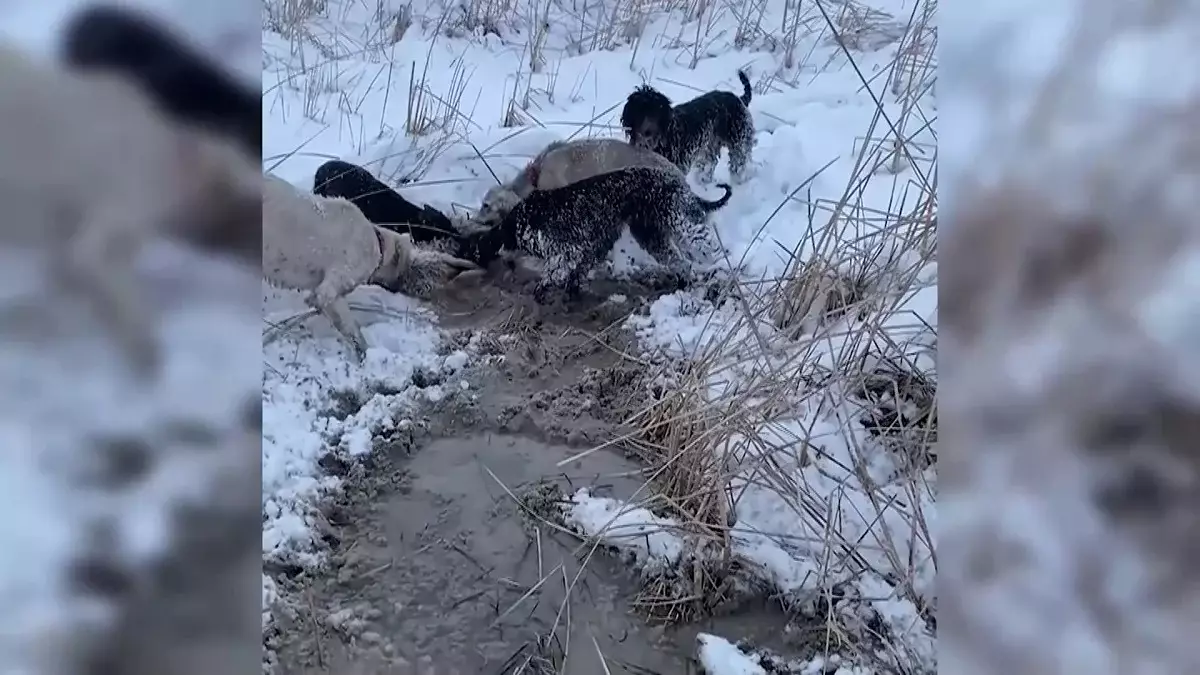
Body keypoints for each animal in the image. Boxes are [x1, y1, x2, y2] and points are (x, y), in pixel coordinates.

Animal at [458, 165, 729, 302]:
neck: (518, 221)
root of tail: (679, 182)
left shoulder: (565, 251)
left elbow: (549, 278)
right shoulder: (591, 248)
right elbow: (574, 276)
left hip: (679, 218)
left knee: (704, 241)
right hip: (651, 234)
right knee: (681, 263)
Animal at [624, 69, 753, 183]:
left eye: (656, 112)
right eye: (639, 111)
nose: (648, 132)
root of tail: (739, 99)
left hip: (738, 143)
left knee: (738, 164)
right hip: (708, 147)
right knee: (711, 162)